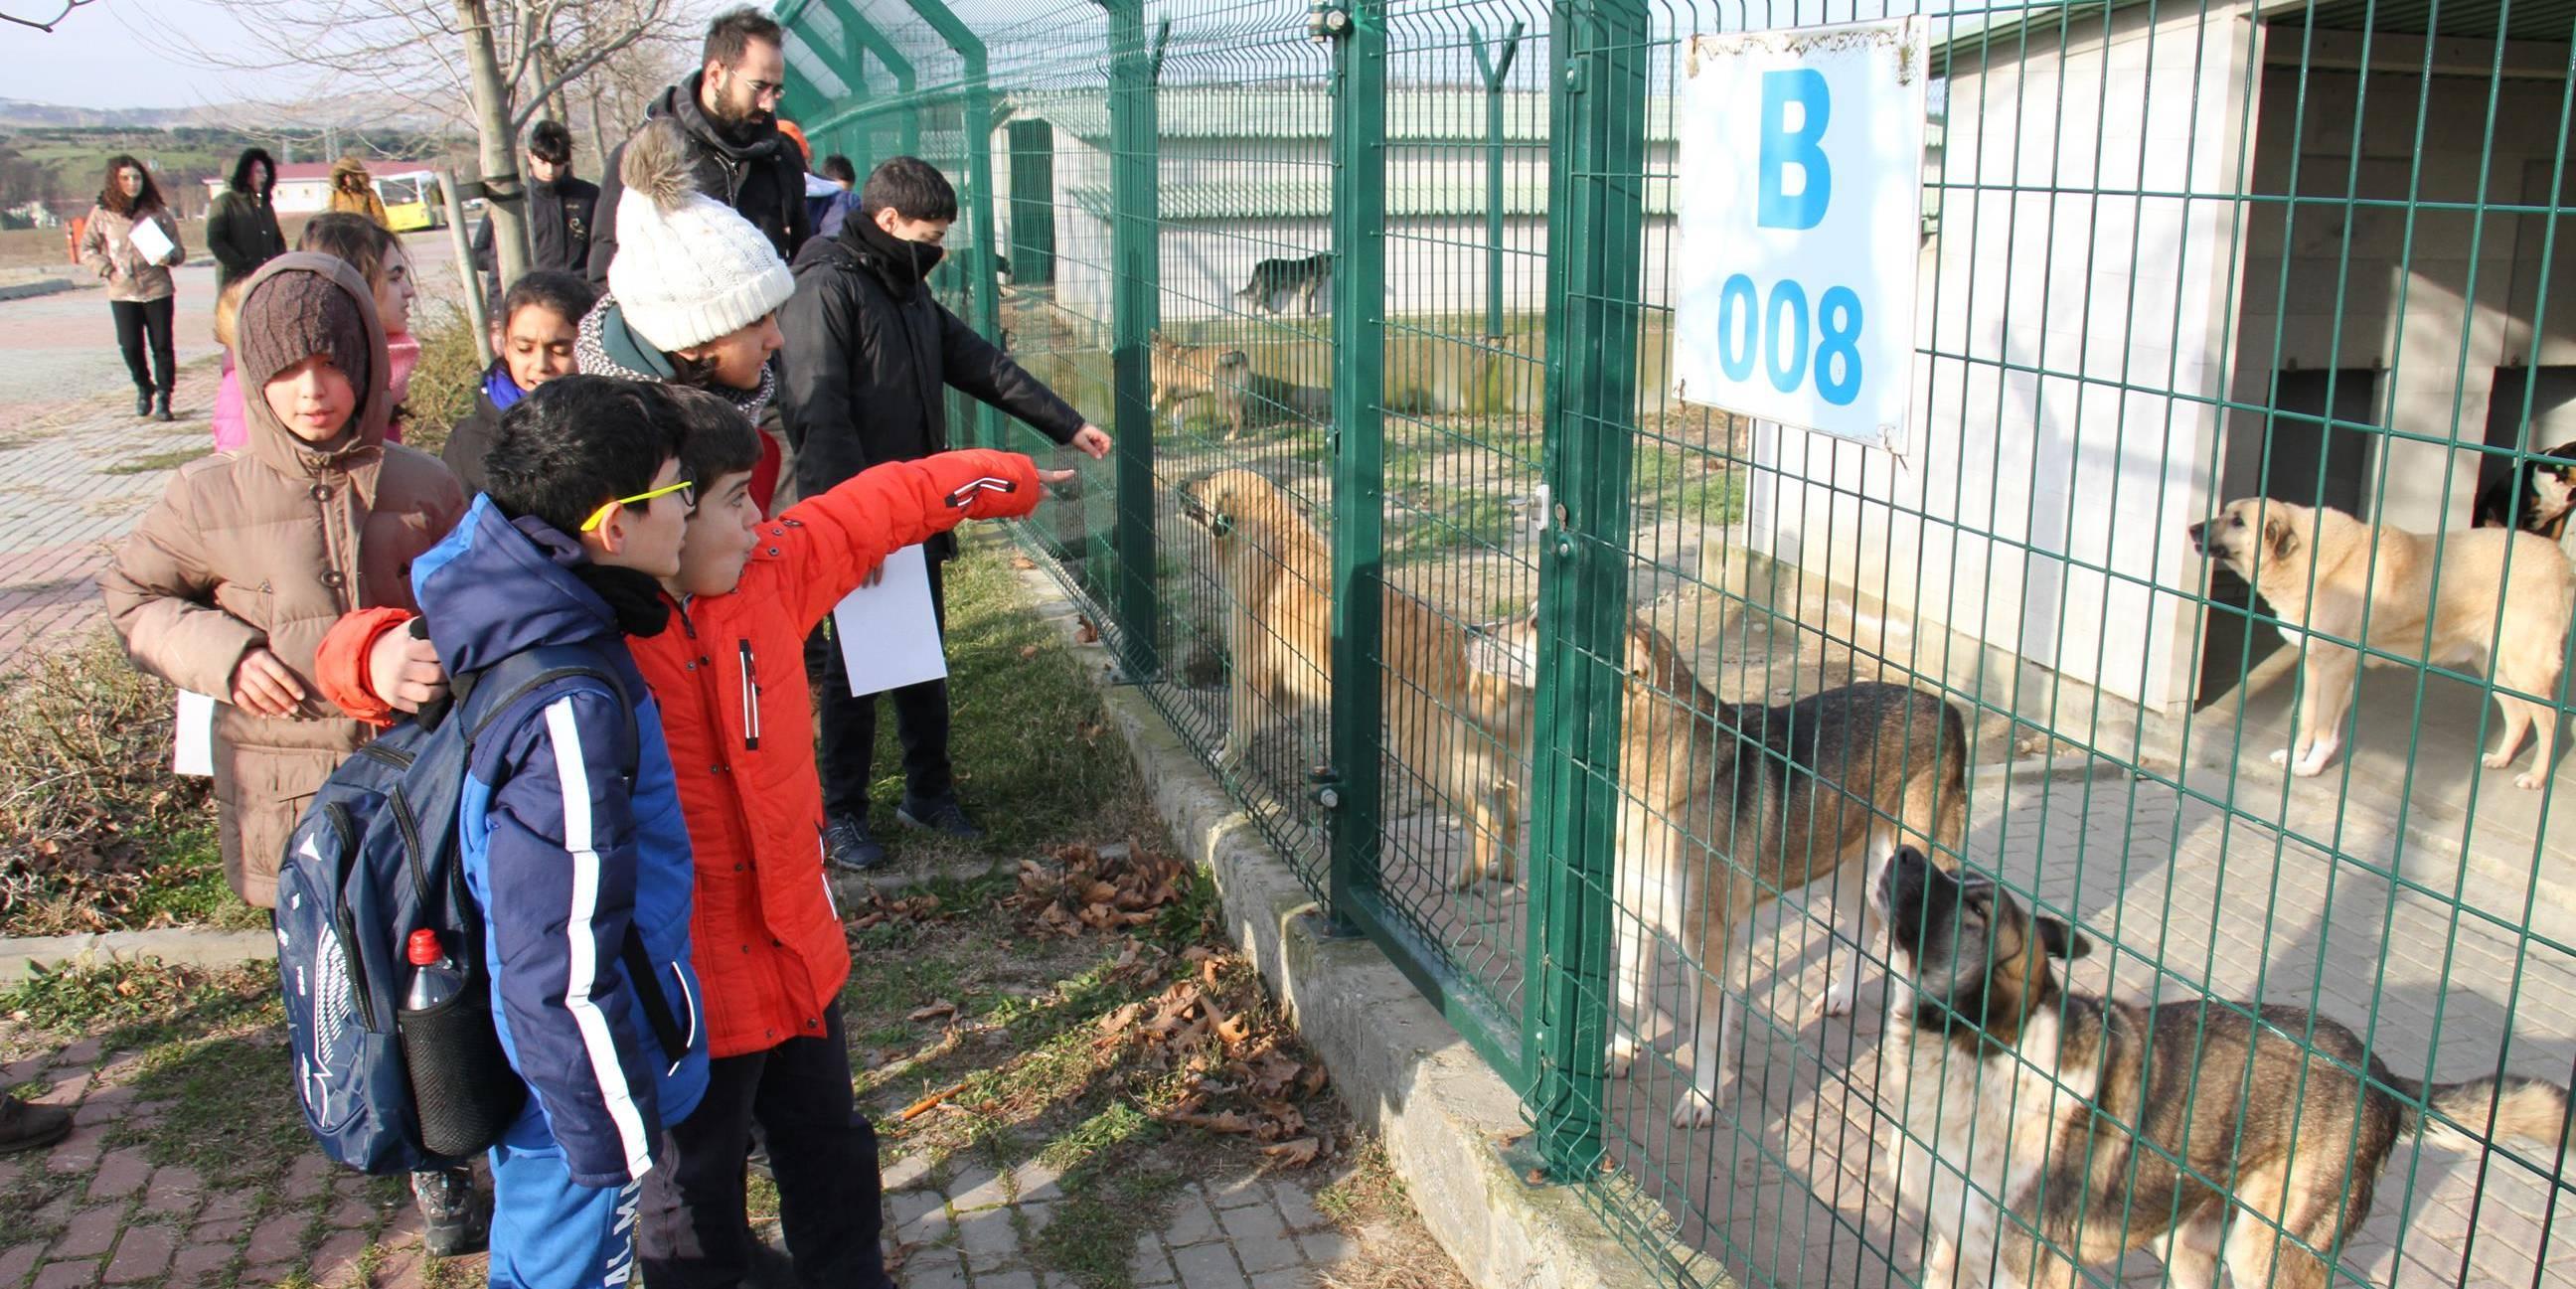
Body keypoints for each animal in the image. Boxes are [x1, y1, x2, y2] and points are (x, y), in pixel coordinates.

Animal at [1180, 469, 1525, 891]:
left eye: (1207, 482)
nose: (1180, 486)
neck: (1268, 533)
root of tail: (1461, 653)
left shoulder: (1250, 669)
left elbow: (1239, 723)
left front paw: (1223, 757)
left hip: (1427, 759)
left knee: (1486, 821)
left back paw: (1463, 878)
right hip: (1489, 764)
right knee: (1509, 814)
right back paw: (1503, 872)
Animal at [1874, 845, 2576, 1289]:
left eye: (1976, 911)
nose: (1904, 852)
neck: (1981, 1049)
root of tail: (2381, 1071)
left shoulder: (2032, 1269)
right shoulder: (1953, 1248)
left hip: (2270, 1253)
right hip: (2185, 1242)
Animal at [2194, 497, 2576, 788]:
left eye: (2238, 521)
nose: (2192, 530)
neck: (2309, 558)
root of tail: (2560, 559)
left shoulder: (2335, 669)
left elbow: (2322, 727)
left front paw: (2311, 767)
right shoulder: (2315, 665)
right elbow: (2307, 719)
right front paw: (2295, 758)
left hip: (2524, 668)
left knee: (2549, 722)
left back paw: (2537, 777)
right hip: (2495, 668)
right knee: (2519, 716)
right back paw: (2500, 759)